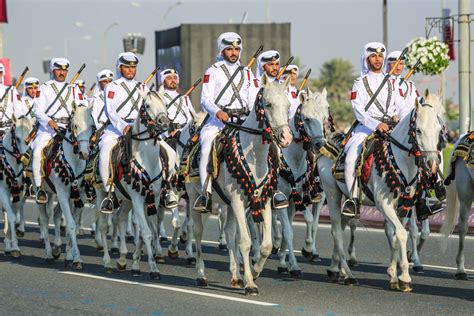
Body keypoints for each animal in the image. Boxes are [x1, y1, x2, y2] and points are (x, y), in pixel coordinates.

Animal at [0, 116, 35, 256]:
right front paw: (12, 245)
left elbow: (13, 216)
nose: (26, 160)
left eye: (32, 138)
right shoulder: (2, 191)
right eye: (18, 138)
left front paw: (11, 244)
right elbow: (10, 215)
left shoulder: (19, 191)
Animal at [95, 89, 170, 278]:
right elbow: (146, 233)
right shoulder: (137, 198)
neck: (147, 160)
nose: (164, 123)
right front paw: (153, 269)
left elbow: (149, 232)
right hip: (102, 193)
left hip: (127, 199)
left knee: (121, 218)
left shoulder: (152, 198)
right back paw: (107, 261)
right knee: (103, 225)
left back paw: (122, 259)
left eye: (165, 104)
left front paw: (137, 264)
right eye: (147, 105)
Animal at [186, 74, 292, 296]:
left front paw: (255, 272)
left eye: (288, 106)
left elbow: (266, 245)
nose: (286, 138)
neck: (255, 156)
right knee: (198, 232)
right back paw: (201, 275)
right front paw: (250, 283)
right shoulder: (236, 200)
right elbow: (245, 242)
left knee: (229, 233)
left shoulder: (263, 200)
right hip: (195, 199)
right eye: (268, 104)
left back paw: (235, 276)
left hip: (228, 204)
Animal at [318, 89, 444, 292]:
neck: (400, 160)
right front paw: (404, 278)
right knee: (336, 232)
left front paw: (393, 276)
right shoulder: (384, 204)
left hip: (346, 201)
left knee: (340, 229)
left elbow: (395, 236)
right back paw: (349, 275)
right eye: (418, 130)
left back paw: (336, 270)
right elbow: (401, 234)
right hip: (332, 195)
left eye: (439, 130)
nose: (432, 163)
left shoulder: (403, 207)